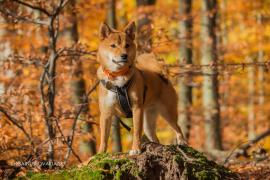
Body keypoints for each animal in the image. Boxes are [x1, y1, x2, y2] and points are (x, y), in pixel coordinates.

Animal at [96, 21, 186, 155]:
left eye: (127, 45)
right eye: (113, 46)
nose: (124, 55)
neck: (118, 77)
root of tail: (161, 76)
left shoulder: (137, 108)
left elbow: (136, 132)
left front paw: (135, 149)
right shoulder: (106, 113)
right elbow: (103, 137)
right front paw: (100, 154)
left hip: (167, 112)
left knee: (178, 127)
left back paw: (182, 141)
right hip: (148, 121)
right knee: (155, 137)